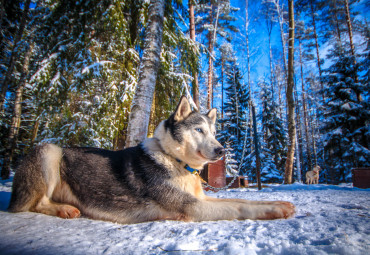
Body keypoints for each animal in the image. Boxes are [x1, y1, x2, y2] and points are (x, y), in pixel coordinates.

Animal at [7, 96, 294, 223]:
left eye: (213, 133)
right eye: (198, 130)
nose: (221, 150)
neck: (174, 161)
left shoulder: (200, 199)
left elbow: (244, 200)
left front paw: (278, 202)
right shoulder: (191, 207)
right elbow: (238, 207)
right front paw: (275, 210)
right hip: (50, 150)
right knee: (34, 204)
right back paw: (63, 209)